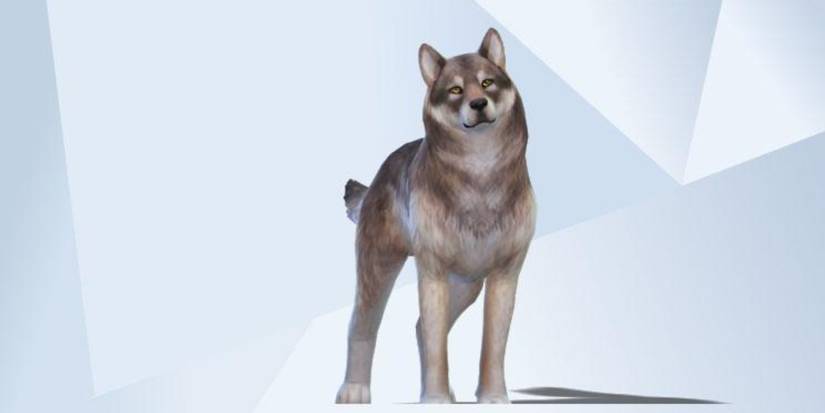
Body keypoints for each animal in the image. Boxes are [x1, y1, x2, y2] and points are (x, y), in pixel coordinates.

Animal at [336, 28, 535, 404]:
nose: (478, 104)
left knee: (420, 328)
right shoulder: (432, 273)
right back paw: (354, 390)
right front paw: (435, 399)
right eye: (455, 90)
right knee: (361, 326)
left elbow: (492, 347)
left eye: (487, 83)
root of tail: (380, 173)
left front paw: (493, 398)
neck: (481, 175)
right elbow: (435, 345)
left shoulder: (505, 275)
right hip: (379, 267)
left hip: (467, 285)